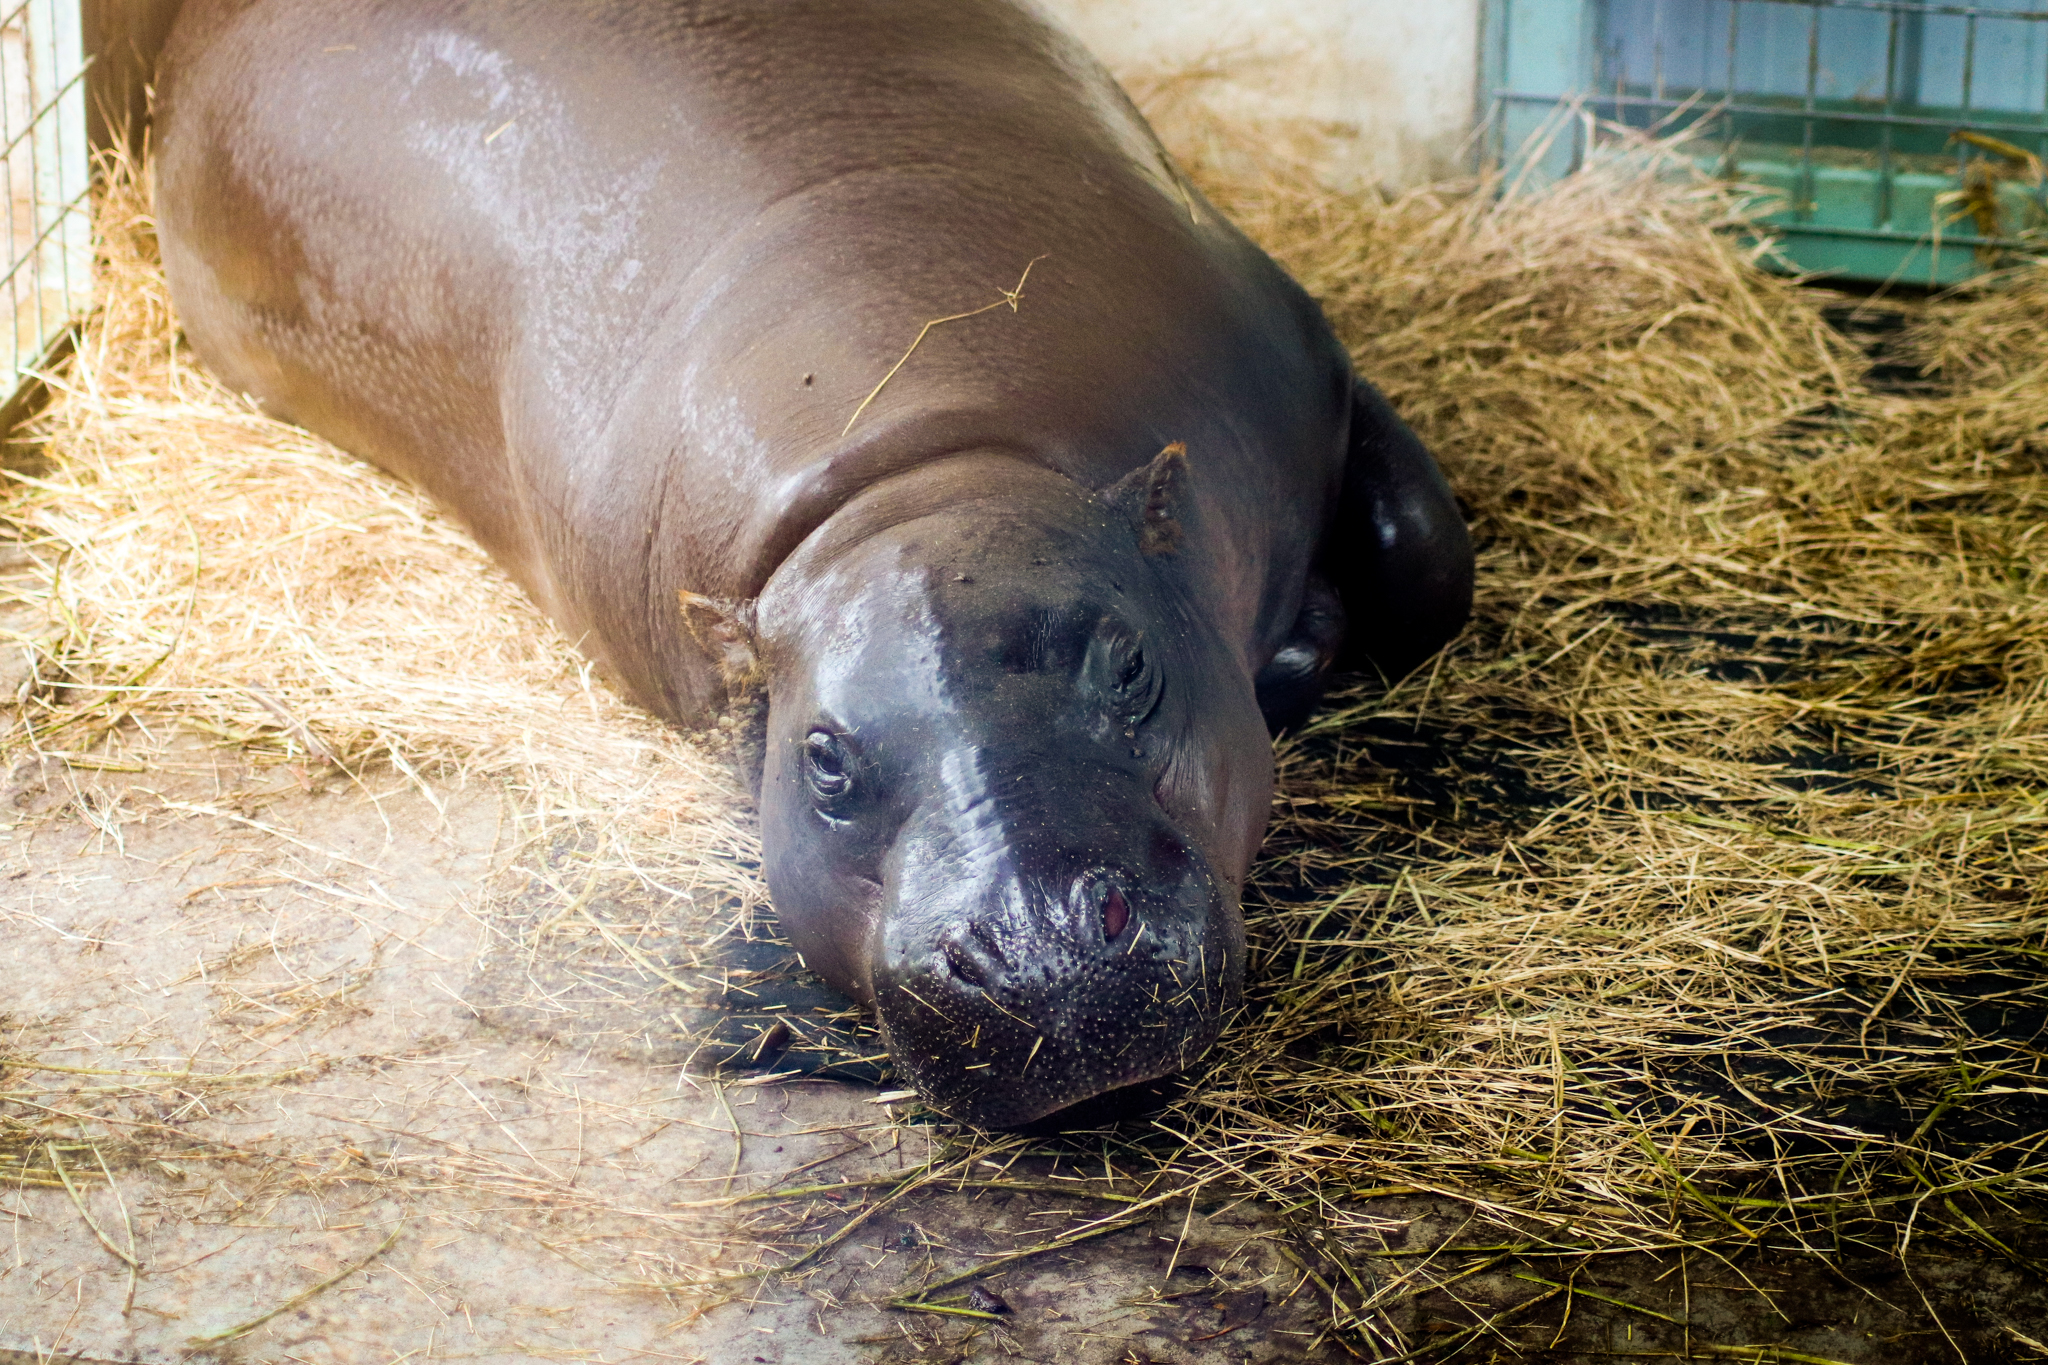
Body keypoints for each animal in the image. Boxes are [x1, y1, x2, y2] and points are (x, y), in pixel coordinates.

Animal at [151, 0, 1472, 1127]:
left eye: (1132, 666)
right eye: (823, 760)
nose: (1039, 950)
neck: (931, 469)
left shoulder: (1301, 355)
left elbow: (1423, 562)